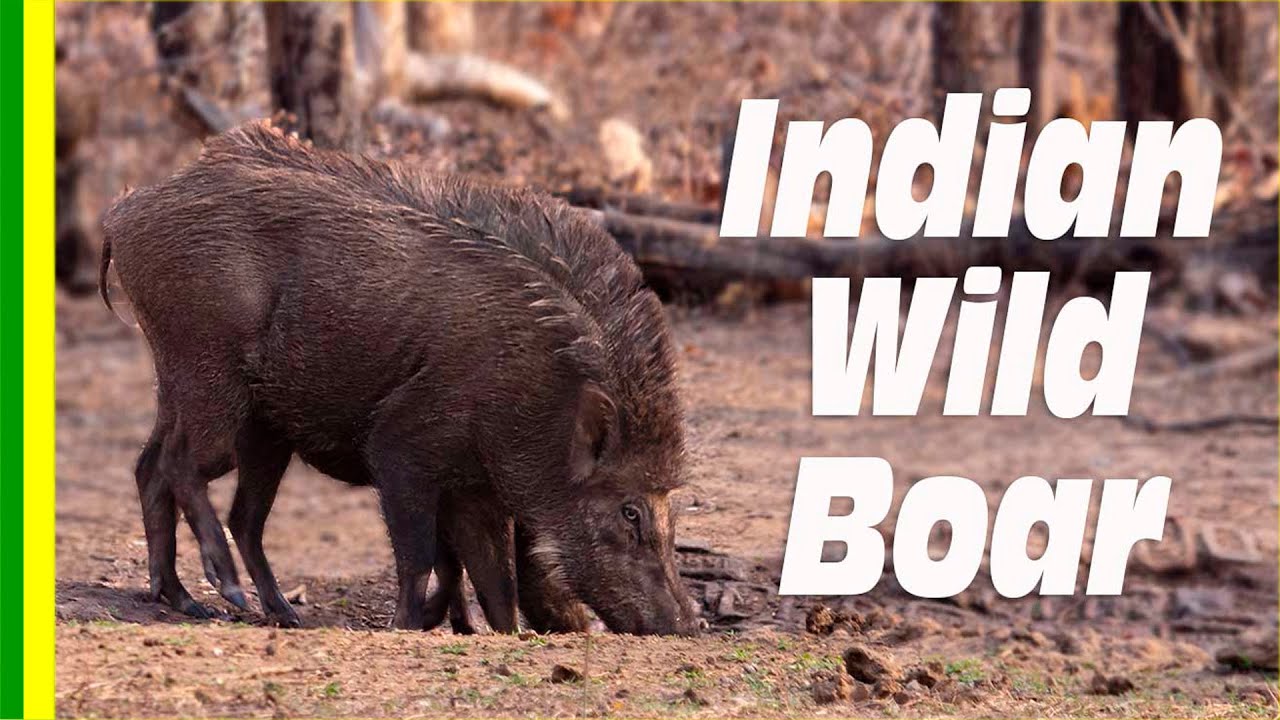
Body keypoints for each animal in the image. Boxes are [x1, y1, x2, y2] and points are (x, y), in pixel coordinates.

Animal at [100, 120, 698, 635]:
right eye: (629, 510)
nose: (686, 625)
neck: (540, 399)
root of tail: (124, 211)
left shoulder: (473, 486)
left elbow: (494, 579)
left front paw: (490, 633)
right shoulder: (402, 446)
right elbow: (419, 556)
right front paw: (405, 626)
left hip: (225, 408)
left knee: (178, 481)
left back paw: (218, 606)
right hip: (208, 373)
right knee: (181, 466)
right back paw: (227, 592)